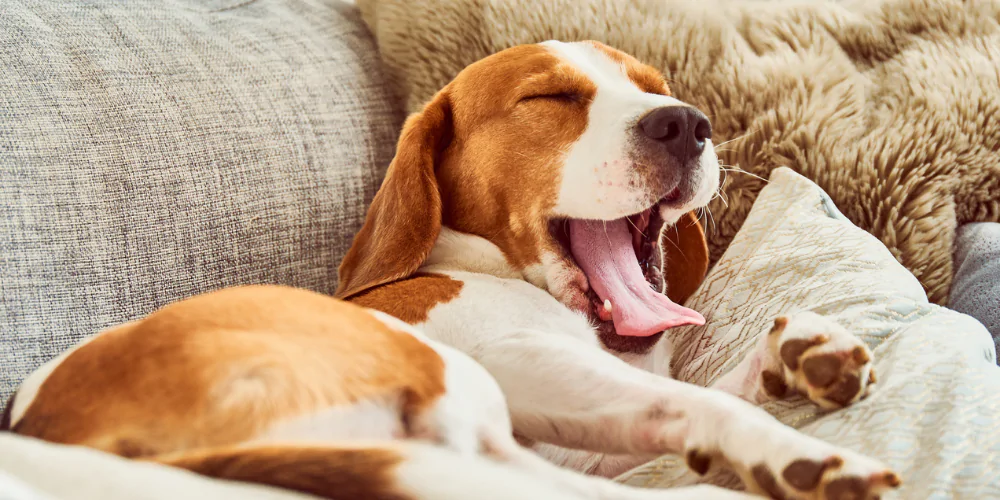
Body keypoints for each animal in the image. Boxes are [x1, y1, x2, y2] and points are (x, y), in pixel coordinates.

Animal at [0, 42, 904, 500]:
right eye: (548, 100)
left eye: (655, 87)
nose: (686, 123)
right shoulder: (524, 363)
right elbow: (691, 402)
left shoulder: (580, 434)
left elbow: (691, 402)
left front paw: (795, 356)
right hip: (451, 382)